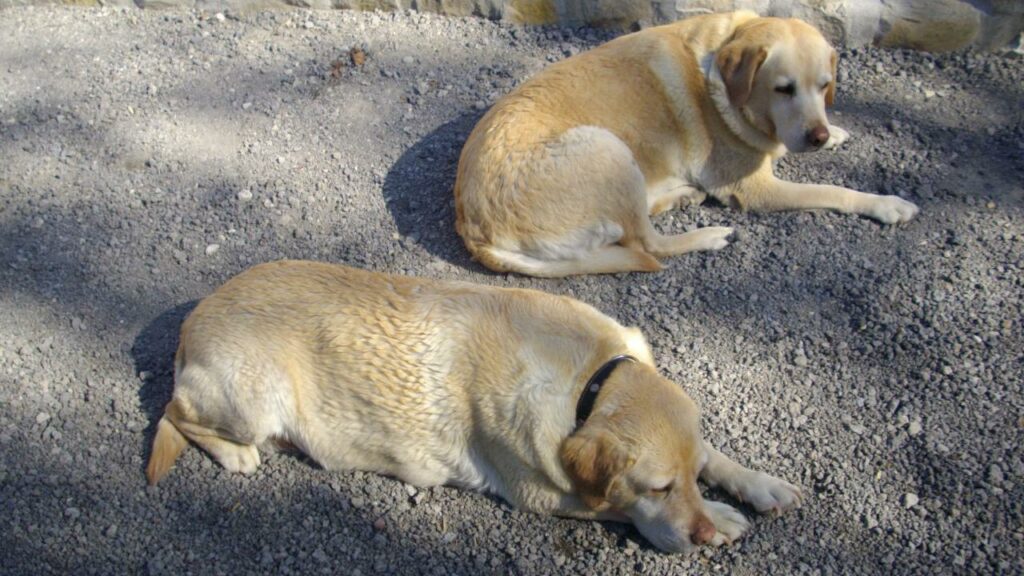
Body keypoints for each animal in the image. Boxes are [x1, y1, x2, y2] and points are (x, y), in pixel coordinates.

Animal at [146, 260, 798, 553]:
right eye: (658, 488)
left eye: (684, 477)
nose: (701, 533)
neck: (588, 384)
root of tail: (189, 322)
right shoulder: (542, 494)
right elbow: (614, 507)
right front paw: (723, 517)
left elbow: (716, 453)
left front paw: (756, 483)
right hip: (252, 399)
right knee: (174, 413)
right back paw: (235, 455)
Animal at [456, 10, 921, 276]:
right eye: (783, 89)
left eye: (825, 85)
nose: (817, 136)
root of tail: (474, 228)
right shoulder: (755, 188)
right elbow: (833, 190)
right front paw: (886, 204)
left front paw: (835, 132)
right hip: (608, 147)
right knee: (648, 244)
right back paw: (708, 234)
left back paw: (681, 195)